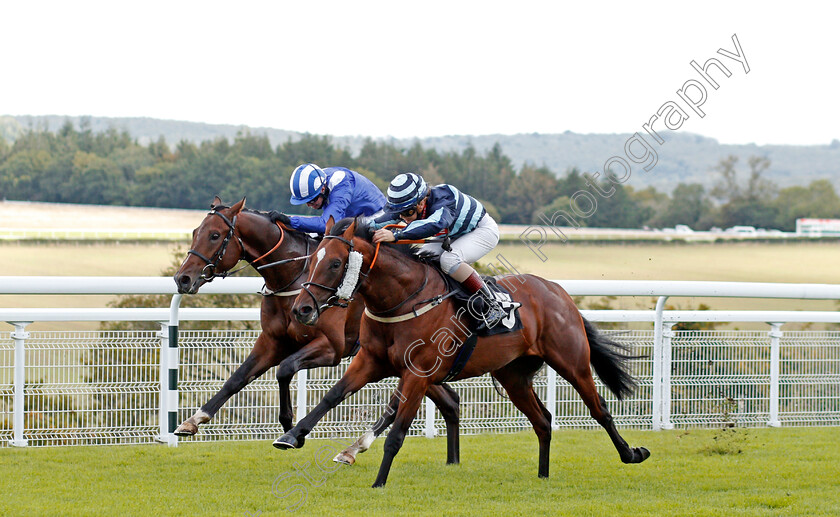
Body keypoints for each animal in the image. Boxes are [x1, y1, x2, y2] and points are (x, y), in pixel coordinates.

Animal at [171, 198, 460, 464]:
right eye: (195, 231)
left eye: (215, 235)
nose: (182, 279)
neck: (293, 279)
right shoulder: (272, 341)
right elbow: (237, 378)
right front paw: (193, 420)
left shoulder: (330, 348)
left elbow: (285, 369)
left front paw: (290, 427)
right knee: (450, 400)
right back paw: (451, 459)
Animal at [276, 216, 648, 486]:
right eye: (312, 261)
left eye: (336, 264)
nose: (302, 310)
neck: (404, 298)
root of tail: (558, 293)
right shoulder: (371, 361)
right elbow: (332, 396)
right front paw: (292, 436)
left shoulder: (418, 373)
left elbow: (397, 431)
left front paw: (378, 481)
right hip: (513, 376)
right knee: (543, 420)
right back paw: (543, 475)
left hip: (572, 362)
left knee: (600, 410)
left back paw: (631, 454)